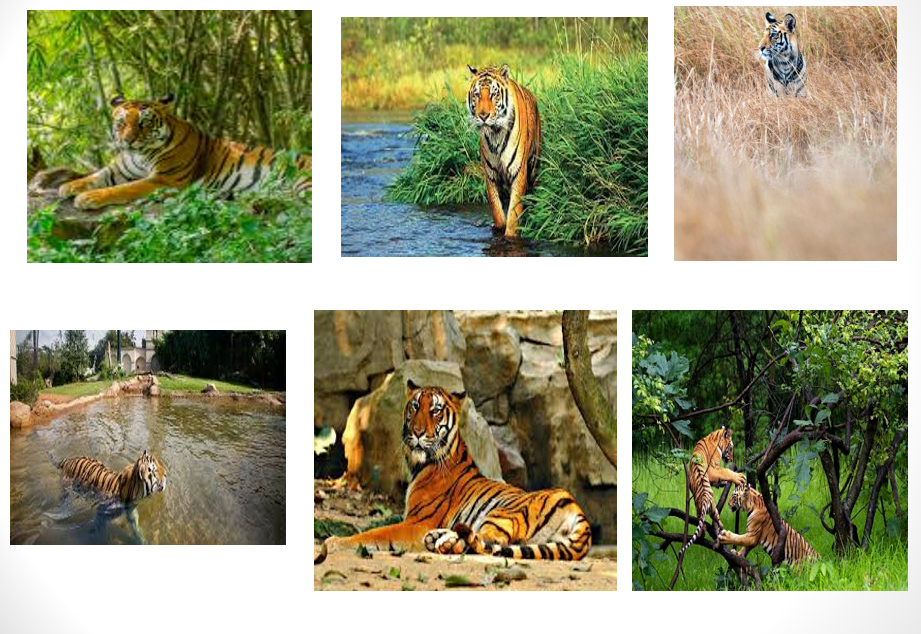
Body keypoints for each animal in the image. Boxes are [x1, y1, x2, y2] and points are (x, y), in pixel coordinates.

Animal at [58, 94, 311, 210]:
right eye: (121, 123)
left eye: (143, 123)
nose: (127, 140)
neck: (139, 153)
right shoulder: (118, 170)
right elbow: (95, 176)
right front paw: (68, 186)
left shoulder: (164, 179)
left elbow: (122, 189)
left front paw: (87, 198)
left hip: (302, 181)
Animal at [315, 380, 592, 563]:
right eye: (414, 406)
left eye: (435, 411)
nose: (417, 432)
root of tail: (578, 511)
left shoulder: (418, 521)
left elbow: (374, 534)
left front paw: (334, 543)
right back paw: (439, 538)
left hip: (502, 514)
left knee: (485, 542)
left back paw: (445, 541)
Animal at [467, 64, 541, 238]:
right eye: (477, 94)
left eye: (494, 94)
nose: (483, 115)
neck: (496, 133)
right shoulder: (491, 175)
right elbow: (497, 210)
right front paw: (499, 227)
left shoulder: (518, 172)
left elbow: (514, 213)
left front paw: (511, 234)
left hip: (534, 166)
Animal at [678, 426, 746, 558]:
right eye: (731, 447)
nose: (731, 459)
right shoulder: (713, 469)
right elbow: (726, 472)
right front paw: (739, 477)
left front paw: (724, 483)